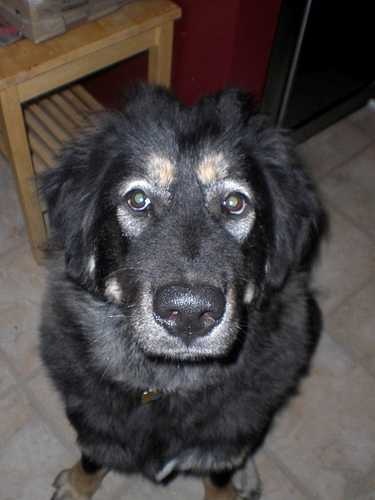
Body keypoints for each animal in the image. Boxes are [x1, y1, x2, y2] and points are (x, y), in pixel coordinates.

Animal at [39, 85, 324, 500]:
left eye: (235, 203)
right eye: (137, 200)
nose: (189, 313)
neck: (167, 382)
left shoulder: (222, 443)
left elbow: (220, 475)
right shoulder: (94, 424)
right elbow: (92, 457)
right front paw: (78, 486)